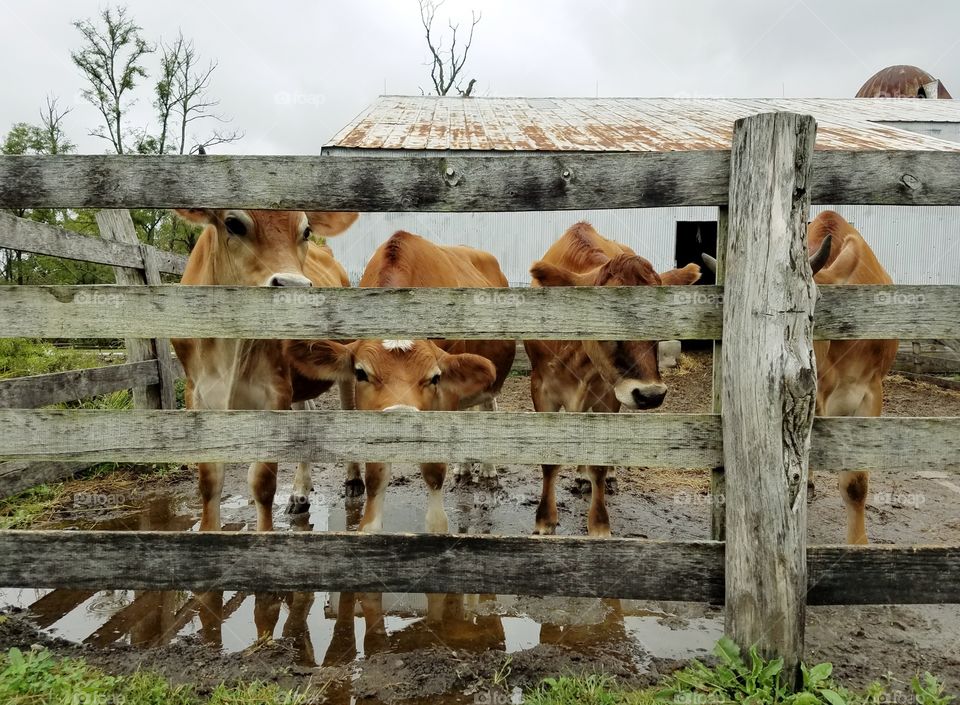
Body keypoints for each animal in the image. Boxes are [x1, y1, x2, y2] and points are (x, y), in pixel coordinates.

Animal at [171, 208, 359, 532]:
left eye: (306, 230)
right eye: (233, 223)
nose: (294, 288)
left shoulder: (274, 393)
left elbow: (261, 482)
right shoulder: (197, 393)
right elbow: (210, 478)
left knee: (348, 410)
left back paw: (354, 481)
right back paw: (299, 492)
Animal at [286, 230, 516, 533]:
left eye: (434, 377)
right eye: (361, 373)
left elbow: (433, 471)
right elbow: (375, 478)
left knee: (488, 408)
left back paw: (488, 473)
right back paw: (464, 470)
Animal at [524, 222, 701, 537]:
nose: (651, 394)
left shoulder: (609, 394)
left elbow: (599, 464)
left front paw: (599, 524)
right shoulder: (541, 388)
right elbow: (550, 460)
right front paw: (544, 520)